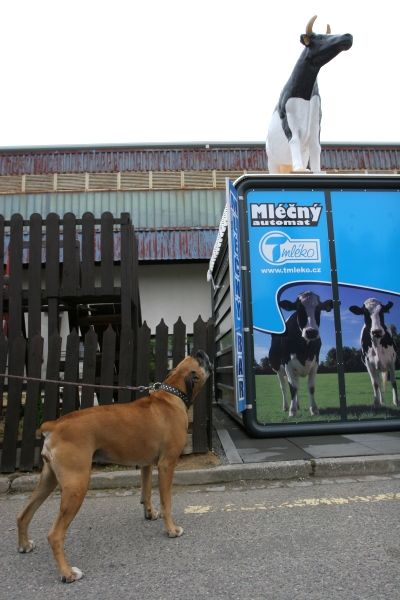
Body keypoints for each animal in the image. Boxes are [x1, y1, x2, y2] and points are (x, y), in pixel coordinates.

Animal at [16, 350, 212, 584]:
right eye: (200, 361)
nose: (202, 352)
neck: (172, 392)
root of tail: (54, 425)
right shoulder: (167, 465)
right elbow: (167, 502)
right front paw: (171, 530)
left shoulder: (147, 464)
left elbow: (146, 492)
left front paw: (150, 513)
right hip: (76, 485)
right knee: (54, 535)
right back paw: (67, 573)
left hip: (48, 480)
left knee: (23, 515)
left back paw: (24, 545)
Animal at [268, 14, 352, 173]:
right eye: (319, 37)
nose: (348, 35)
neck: (305, 95)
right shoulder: (287, 117)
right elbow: (294, 139)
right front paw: (299, 168)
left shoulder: (316, 120)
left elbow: (316, 146)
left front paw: (318, 170)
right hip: (272, 162)